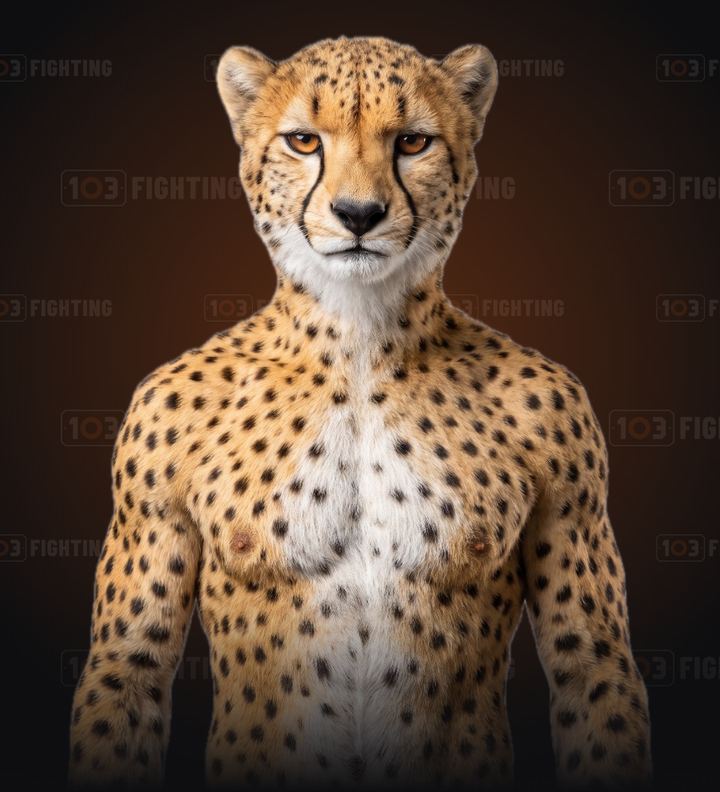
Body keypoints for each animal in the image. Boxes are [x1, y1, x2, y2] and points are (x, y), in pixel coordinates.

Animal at [68, 35, 652, 790]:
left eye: (411, 142)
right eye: (303, 141)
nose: (358, 214)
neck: (359, 337)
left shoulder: (571, 457)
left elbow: (587, 661)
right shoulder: (147, 469)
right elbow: (130, 664)